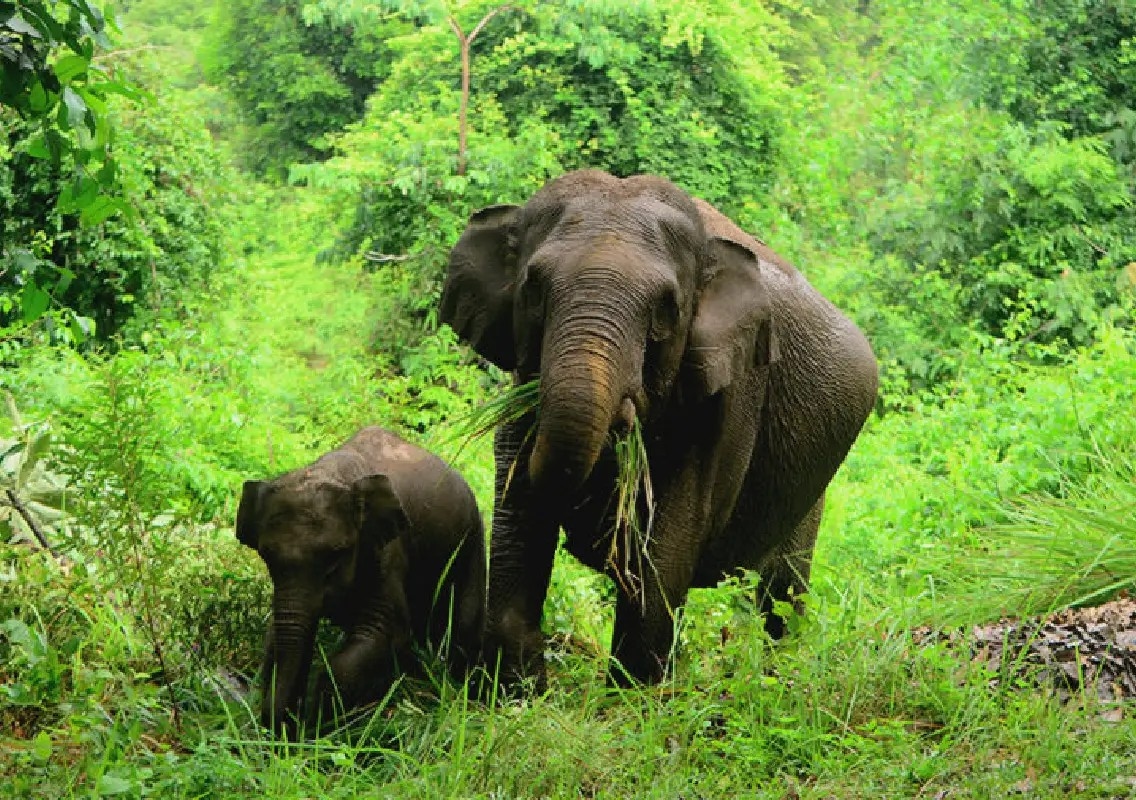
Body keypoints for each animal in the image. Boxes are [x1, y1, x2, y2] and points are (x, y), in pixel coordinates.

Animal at [235, 426, 485, 736]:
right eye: (266, 554)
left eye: (336, 554)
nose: (284, 731)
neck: (331, 473)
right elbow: (281, 637)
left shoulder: (387, 553)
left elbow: (385, 634)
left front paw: (324, 727)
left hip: (472, 540)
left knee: (464, 623)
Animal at [439, 169, 878, 689]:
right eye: (534, 288)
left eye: (666, 309)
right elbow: (519, 513)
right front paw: (516, 694)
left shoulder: (728, 395)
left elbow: (665, 548)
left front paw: (630, 701)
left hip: (811, 493)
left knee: (783, 592)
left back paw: (773, 681)